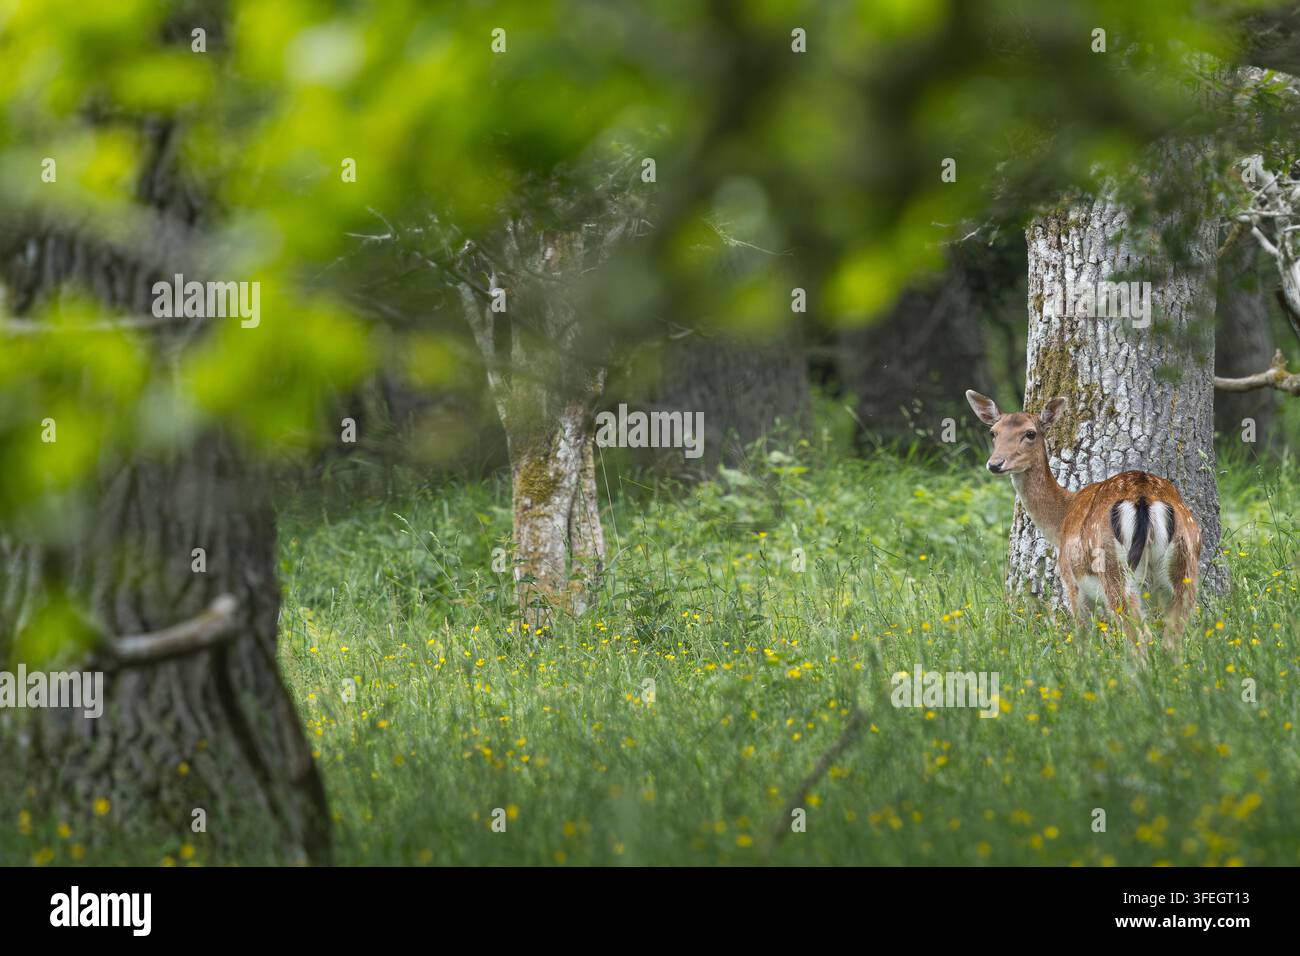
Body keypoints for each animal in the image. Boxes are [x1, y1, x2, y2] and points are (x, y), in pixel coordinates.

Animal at [965, 390, 1200, 649]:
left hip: (1112, 566)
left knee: (1138, 634)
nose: (995, 464)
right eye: (993, 432)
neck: (1061, 520)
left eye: (1030, 433)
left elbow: (1083, 636)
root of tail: (1145, 500)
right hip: (1186, 559)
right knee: (1173, 636)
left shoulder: (1070, 580)